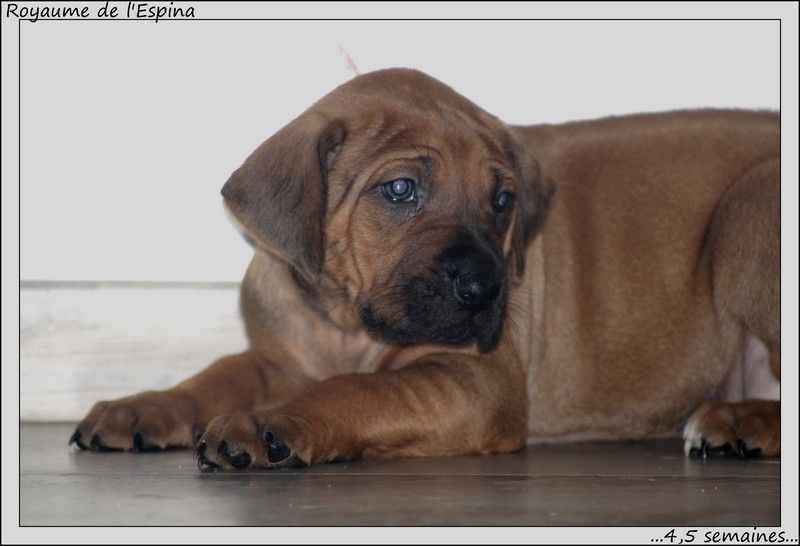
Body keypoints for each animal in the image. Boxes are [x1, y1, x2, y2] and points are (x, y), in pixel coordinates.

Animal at [70, 68, 780, 468]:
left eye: (502, 200)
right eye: (401, 190)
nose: (485, 289)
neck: (342, 323)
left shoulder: (478, 380)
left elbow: (358, 390)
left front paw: (274, 422)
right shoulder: (276, 358)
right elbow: (217, 374)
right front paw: (141, 408)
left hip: (748, 211)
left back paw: (737, 422)